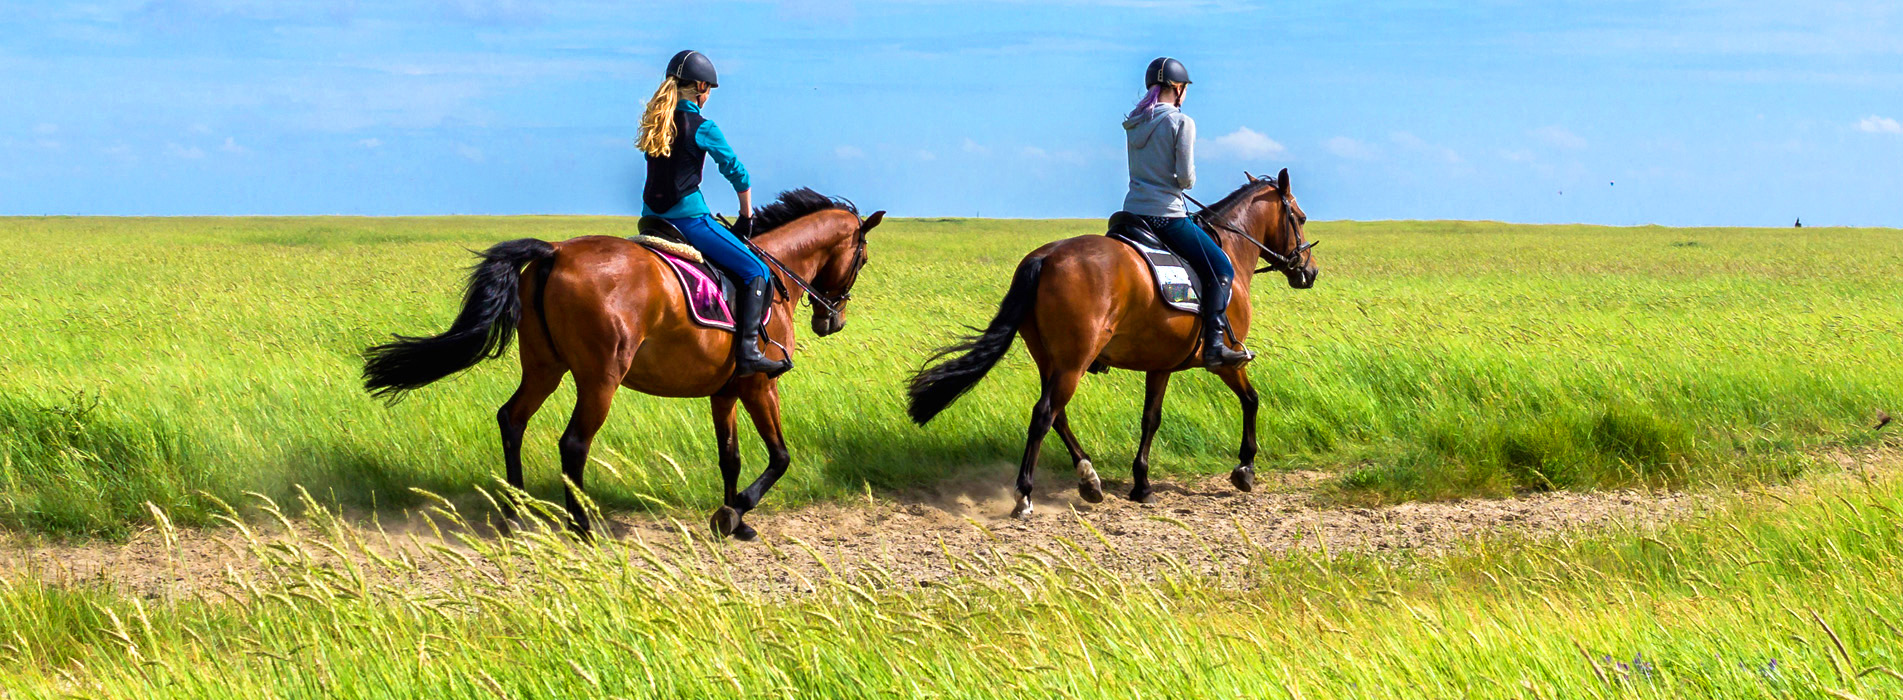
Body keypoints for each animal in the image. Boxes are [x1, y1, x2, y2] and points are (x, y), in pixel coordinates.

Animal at [363, 188, 882, 540]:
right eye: (862, 258)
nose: (832, 320)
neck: (773, 272)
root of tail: (555, 251)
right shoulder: (759, 385)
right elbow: (779, 457)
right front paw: (735, 512)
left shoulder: (725, 391)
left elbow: (730, 458)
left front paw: (735, 519)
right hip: (601, 378)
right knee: (572, 443)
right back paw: (581, 525)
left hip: (544, 368)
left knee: (512, 419)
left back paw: (517, 512)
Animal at [902, 168, 1309, 521]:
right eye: (1301, 218)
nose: (1310, 270)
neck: (1232, 250)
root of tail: (1045, 256)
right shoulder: (1226, 360)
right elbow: (1251, 400)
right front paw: (1245, 467)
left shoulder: (1160, 364)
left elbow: (1150, 419)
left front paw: (1142, 484)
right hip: (1074, 361)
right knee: (1044, 414)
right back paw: (1025, 495)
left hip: (1051, 361)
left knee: (1058, 415)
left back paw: (1089, 479)